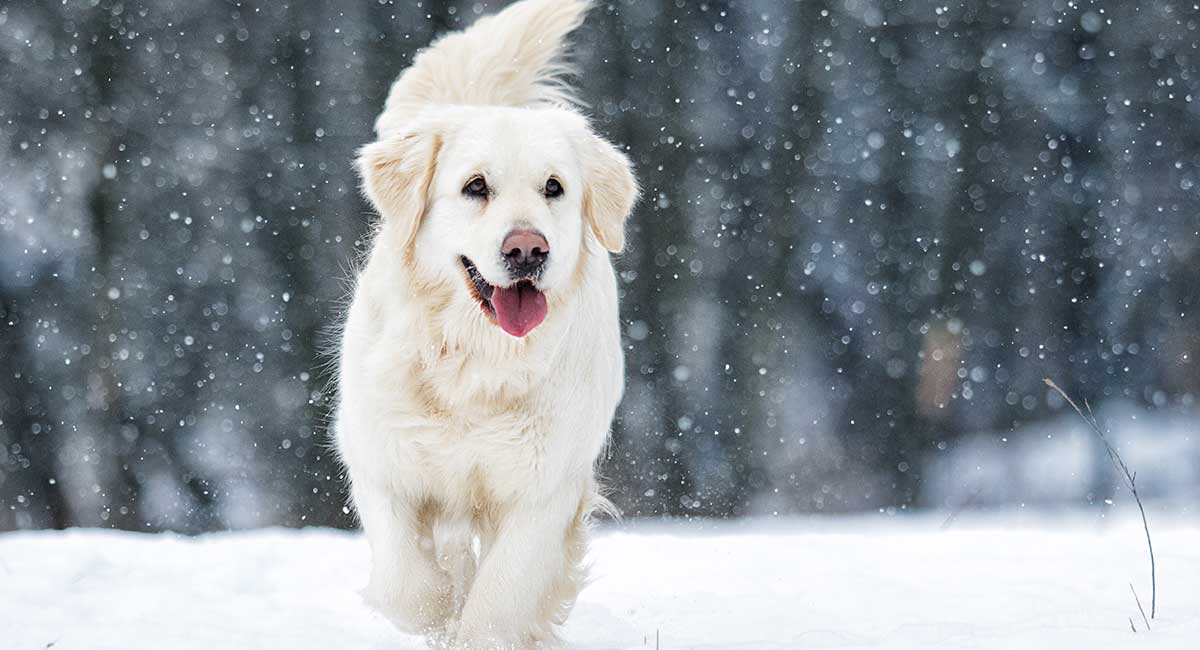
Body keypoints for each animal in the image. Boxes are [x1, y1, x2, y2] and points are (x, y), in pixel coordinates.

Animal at [333, 2, 638, 647]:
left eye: (554, 188)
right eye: (475, 187)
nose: (528, 249)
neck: (475, 360)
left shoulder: (545, 489)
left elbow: (501, 598)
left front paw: (480, 630)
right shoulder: (382, 460)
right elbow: (408, 584)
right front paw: (434, 621)